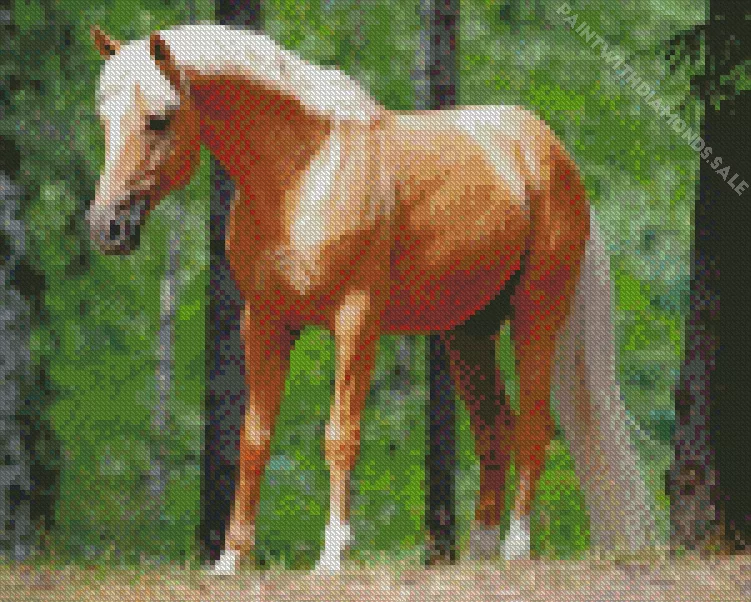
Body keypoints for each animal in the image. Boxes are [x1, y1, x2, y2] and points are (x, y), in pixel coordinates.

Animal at [87, 23, 654, 573]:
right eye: (104, 118)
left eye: (159, 119)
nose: (107, 227)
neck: (303, 173)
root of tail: (550, 152)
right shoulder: (265, 321)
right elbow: (254, 438)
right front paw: (230, 560)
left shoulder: (355, 319)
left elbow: (342, 434)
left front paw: (332, 555)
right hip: (467, 332)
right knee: (495, 428)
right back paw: (479, 554)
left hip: (535, 315)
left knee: (535, 426)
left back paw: (516, 549)